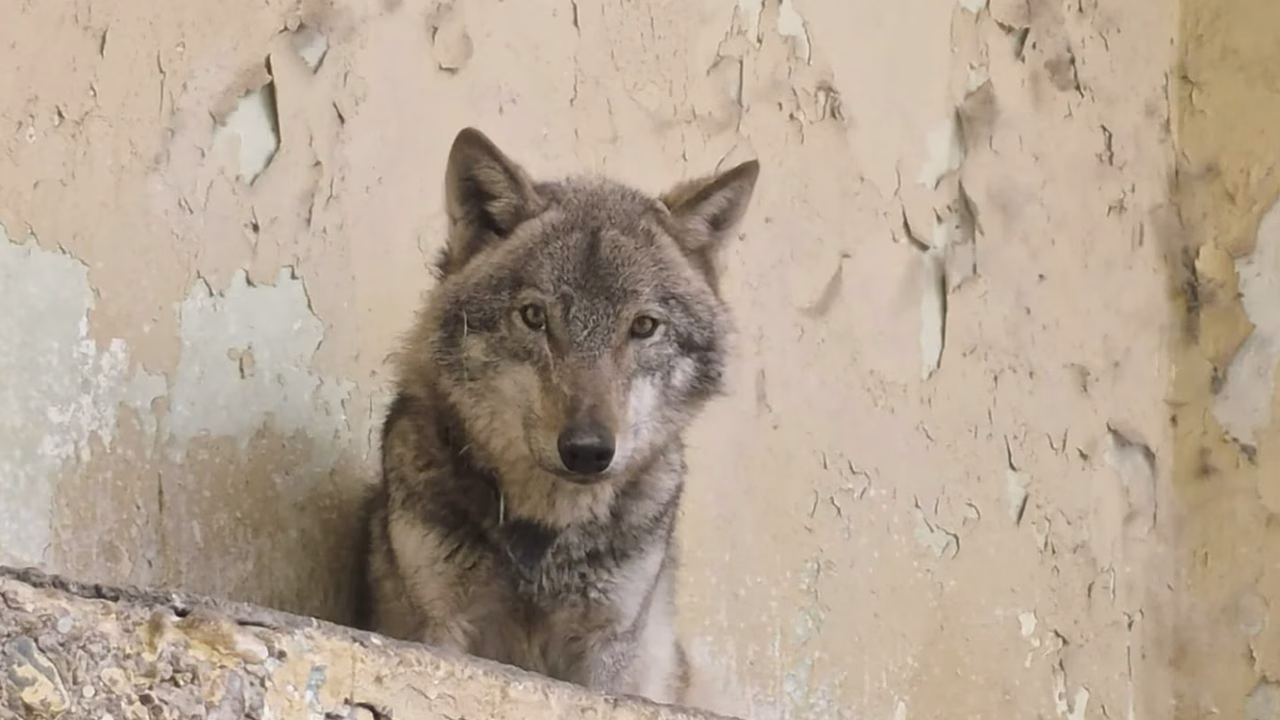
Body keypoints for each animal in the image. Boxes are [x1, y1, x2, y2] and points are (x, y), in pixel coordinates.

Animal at [356, 126, 759, 708]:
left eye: (643, 326)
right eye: (534, 317)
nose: (588, 451)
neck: (544, 537)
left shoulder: (610, 647)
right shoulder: (438, 626)